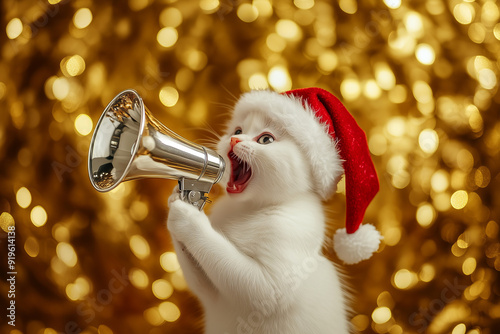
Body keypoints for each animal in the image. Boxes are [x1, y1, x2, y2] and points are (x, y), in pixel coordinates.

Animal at [168, 91, 352, 334]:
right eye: (237, 131)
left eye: (266, 139)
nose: (234, 140)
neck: (251, 207)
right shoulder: (208, 292)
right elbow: (200, 281)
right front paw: (174, 201)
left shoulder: (273, 278)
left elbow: (252, 283)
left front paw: (187, 217)